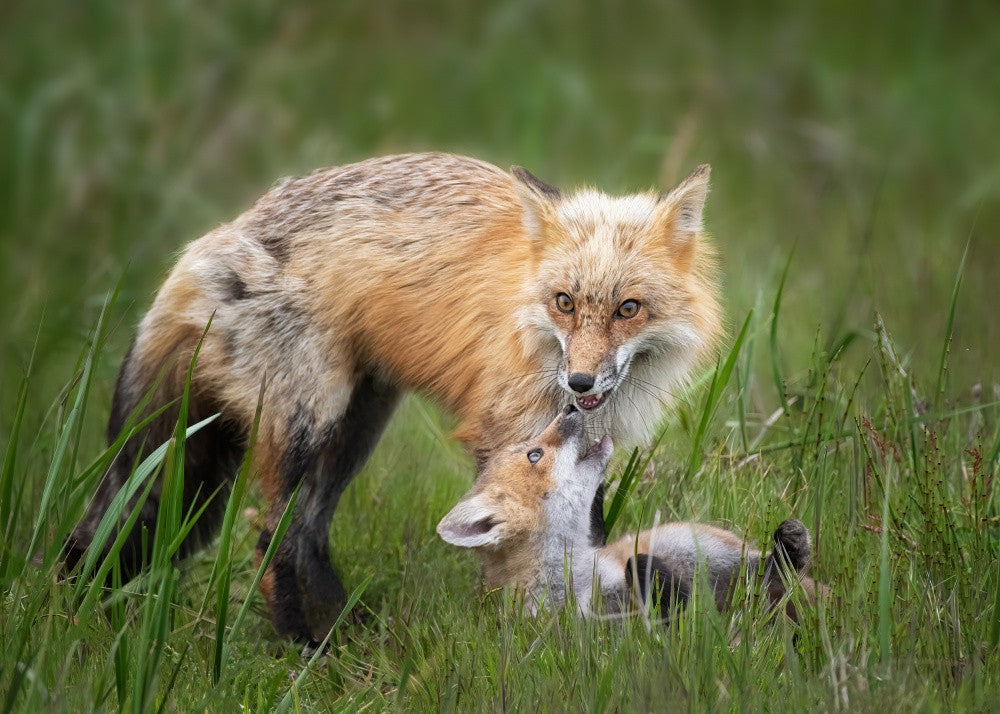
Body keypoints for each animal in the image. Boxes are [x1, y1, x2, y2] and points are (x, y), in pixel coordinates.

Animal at [65, 152, 721, 645]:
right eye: (564, 302)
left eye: (628, 308)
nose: (579, 384)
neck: (528, 326)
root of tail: (216, 238)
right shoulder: (509, 434)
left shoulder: (580, 443)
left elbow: (590, 526)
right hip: (307, 423)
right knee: (269, 539)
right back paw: (302, 647)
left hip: (354, 432)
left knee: (308, 535)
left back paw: (348, 628)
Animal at [437, 405, 822, 621]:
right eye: (535, 455)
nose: (571, 405)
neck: (576, 577)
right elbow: (667, 609)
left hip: (700, 548)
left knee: (768, 572)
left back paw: (788, 549)